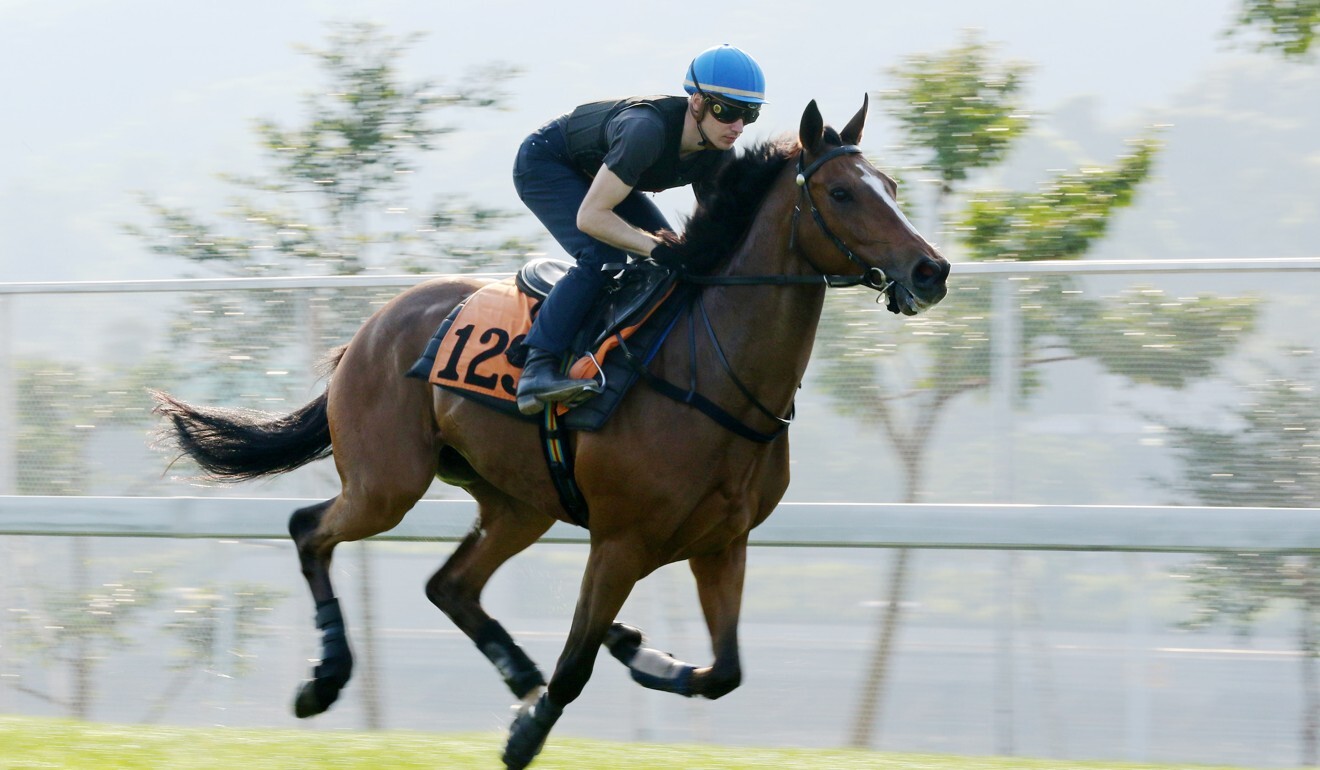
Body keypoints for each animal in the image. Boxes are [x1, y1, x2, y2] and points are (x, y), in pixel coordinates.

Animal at [154, 99, 950, 766]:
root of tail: (369, 329)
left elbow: (724, 671)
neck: (714, 374)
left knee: (449, 585)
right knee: (309, 530)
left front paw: (639, 652)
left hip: (518, 502)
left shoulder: (722, 543)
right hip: (389, 483)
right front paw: (528, 733)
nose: (931, 270)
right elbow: (576, 667)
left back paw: (518, 668)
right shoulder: (620, 541)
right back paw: (326, 676)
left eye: (892, 186)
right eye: (843, 193)